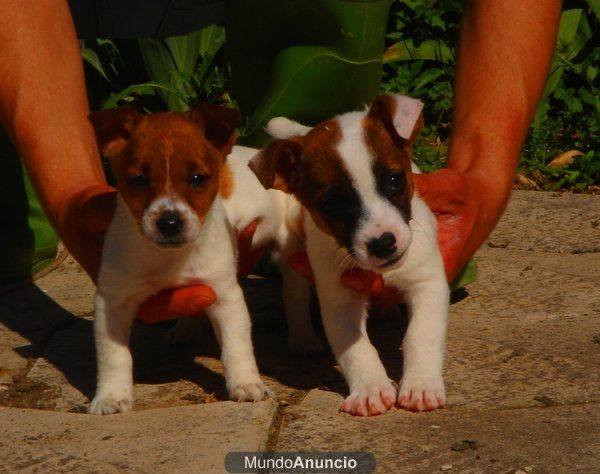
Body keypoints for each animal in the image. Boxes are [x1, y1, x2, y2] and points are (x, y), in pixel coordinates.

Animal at [88, 104, 278, 414]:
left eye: (198, 179)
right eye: (139, 181)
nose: (169, 223)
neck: (169, 258)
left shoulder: (225, 295)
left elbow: (236, 346)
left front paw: (246, 383)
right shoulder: (113, 301)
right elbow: (114, 355)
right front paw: (111, 396)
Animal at [250, 95, 450, 414]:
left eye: (394, 180)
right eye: (331, 203)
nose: (383, 243)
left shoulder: (427, 284)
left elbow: (420, 334)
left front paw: (421, 385)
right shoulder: (339, 300)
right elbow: (356, 348)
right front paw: (370, 389)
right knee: (295, 297)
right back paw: (303, 338)